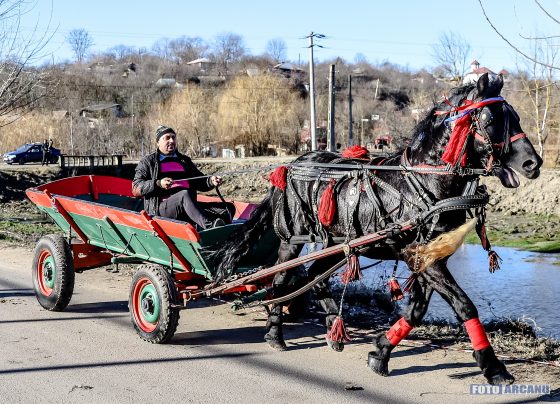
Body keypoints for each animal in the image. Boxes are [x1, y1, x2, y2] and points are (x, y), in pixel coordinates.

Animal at [211, 73, 542, 385]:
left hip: (337, 243)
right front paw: (493, 367)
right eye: (491, 119)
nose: (533, 163)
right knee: (280, 280)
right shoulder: (423, 258)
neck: (424, 181)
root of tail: (291, 165)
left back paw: (333, 328)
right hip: (294, 237)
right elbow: (465, 306)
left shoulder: (429, 257)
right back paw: (275, 334)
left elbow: (417, 310)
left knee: (316, 277)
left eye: (516, 117)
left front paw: (381, 351)